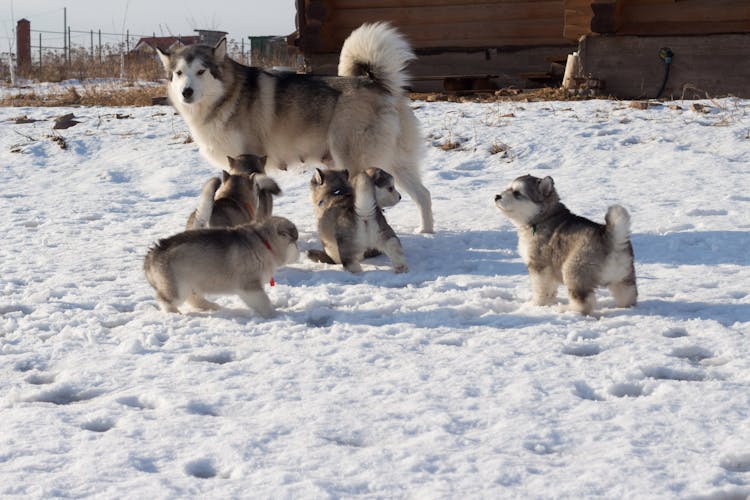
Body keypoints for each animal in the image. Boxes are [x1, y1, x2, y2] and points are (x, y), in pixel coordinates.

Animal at [144, 216, 300, 316]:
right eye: (295, 243)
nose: (299, 255)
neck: (263, 241)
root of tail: (152, 254)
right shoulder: (249, 285)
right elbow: (263, 301)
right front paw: (273, 313)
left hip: (191, 283)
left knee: (193, 299)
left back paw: (212, 306)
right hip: (177, 286)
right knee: (164, 299)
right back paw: (174, 313)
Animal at [159, 22, 434, 233]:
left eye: (201, 71)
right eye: (179, 73)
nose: (186, 92)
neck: (227, 97)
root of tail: (378, 85)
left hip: (354, 160)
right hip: (395, 161)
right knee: (424, 194)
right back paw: (426, 231)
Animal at [496, 176, 636, 314]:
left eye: (517, 193)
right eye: (508, 188)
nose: (497, 196)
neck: (543, 217)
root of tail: (610, 238)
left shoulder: (538, 265)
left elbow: (540, 288)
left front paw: (535, 304)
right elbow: (550, 288)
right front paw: (549, 301)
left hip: (574, 271)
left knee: (583, 303)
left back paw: (567, 309)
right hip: (624, 276)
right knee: (628, 295)